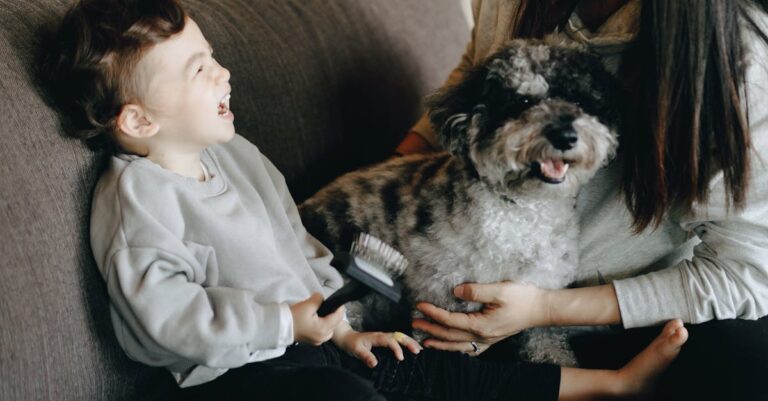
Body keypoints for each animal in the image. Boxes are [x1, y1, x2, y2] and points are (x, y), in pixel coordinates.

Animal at [299, 39, 621, 365]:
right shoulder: (441, 301)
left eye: (580, 102)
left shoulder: (539, 296)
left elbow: (549, 343)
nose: (565, 135)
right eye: (523, 102)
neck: (520, 211)